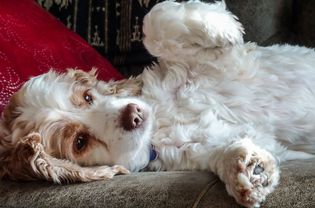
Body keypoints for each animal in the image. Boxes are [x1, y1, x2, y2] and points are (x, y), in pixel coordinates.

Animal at [0, 0, 315, 207]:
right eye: (79, 142)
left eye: (88, 96)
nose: (134, 114)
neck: (162, 121)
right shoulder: (195, 150)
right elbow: (226, 149)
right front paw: (248, 170)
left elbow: (154, 20)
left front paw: (222, 28)